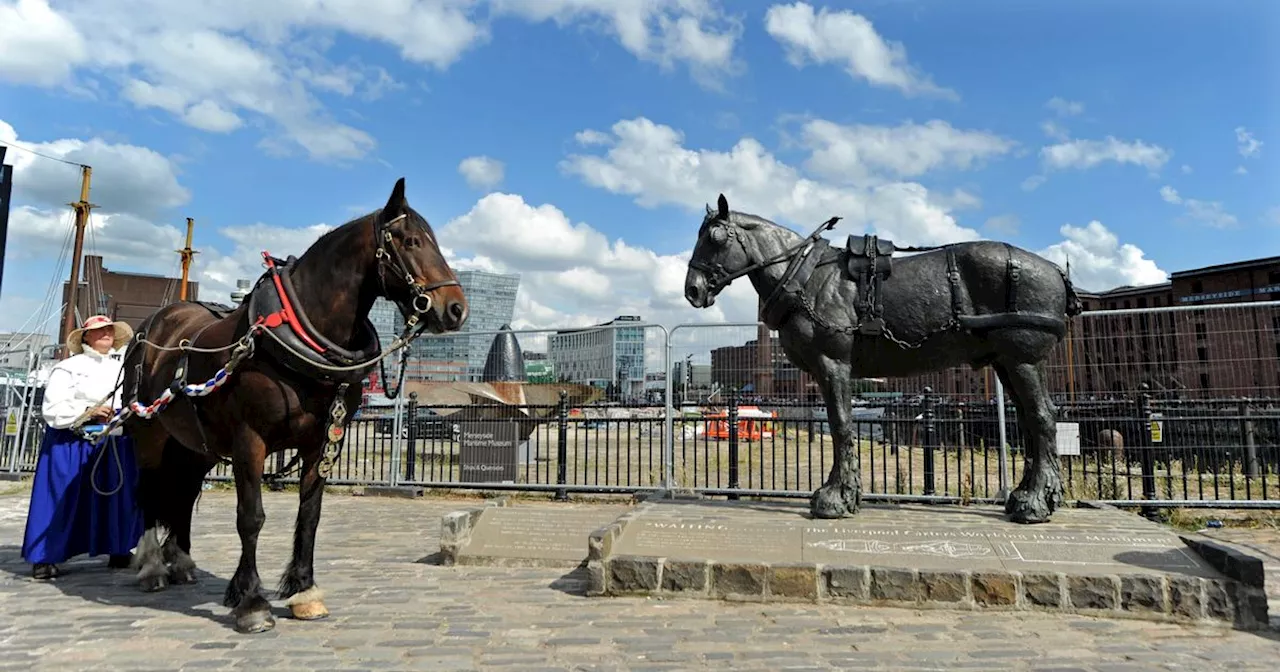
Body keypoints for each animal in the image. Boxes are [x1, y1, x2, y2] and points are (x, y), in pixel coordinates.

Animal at [119, 176, 471, 629]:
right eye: (411, 240)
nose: (456, 308)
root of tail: (154, 325)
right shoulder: (249, 441)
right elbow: (251, 517)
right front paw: (252, 601)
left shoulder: (325, 441)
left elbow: (310, 514)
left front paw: (304, 591)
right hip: (147, 431)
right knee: (147, 491)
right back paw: (151, 567)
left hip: (195, 445)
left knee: (183, 492)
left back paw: (180, 562)